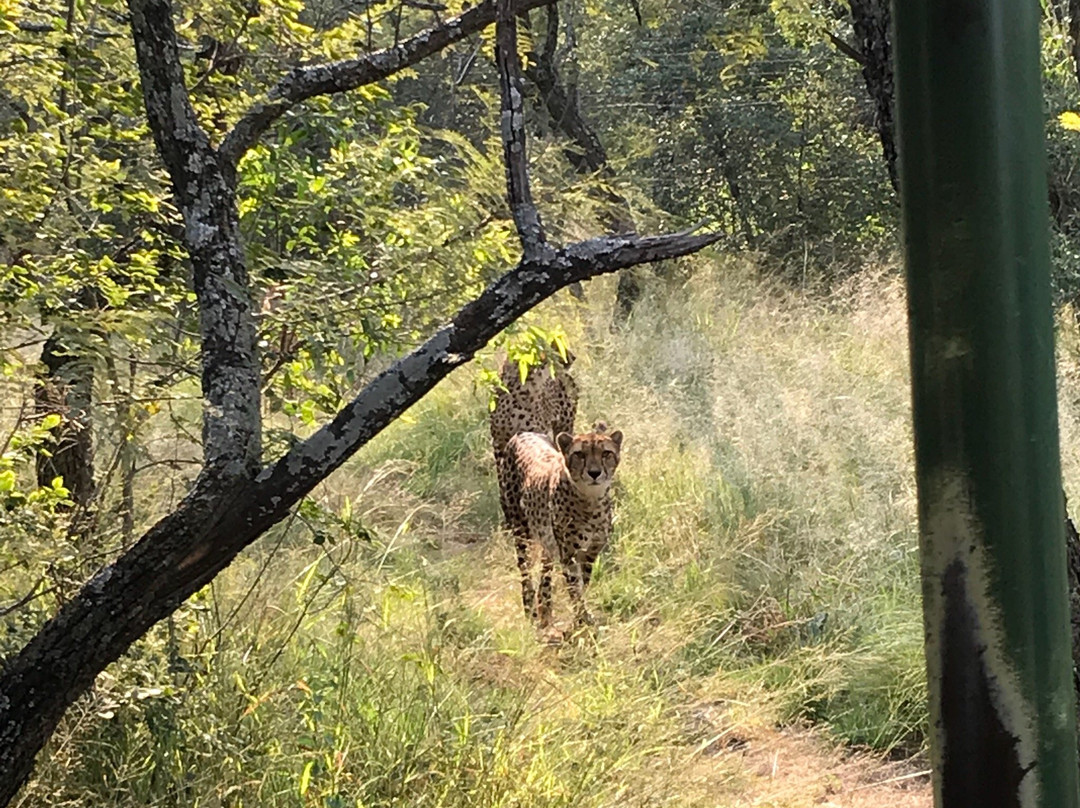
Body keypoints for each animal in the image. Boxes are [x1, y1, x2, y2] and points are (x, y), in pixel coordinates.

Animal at [498, 425, 622, 626]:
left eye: (606, 453)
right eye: (579, 454)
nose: (594, 473)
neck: (591, 499)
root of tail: (522, 433)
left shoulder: (590, 552)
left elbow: (583, 583)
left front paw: (582, 616)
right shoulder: (569, 553)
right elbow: (575, 588)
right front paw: (582, 618)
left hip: (547, 539)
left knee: (545, 568)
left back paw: (545, 606)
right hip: (521, 531)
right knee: (525, 570)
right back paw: (530, 607)